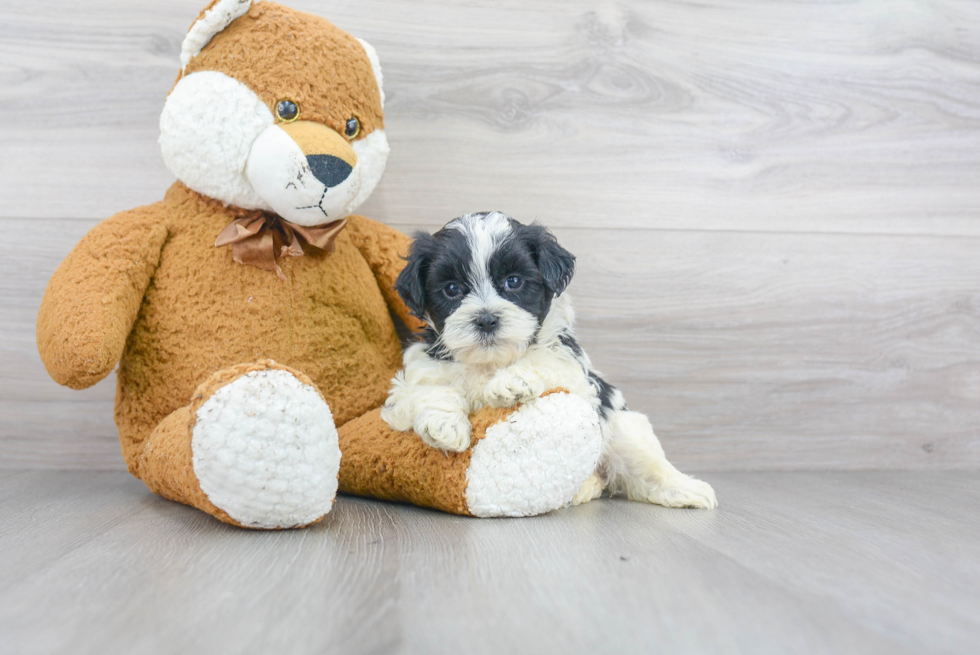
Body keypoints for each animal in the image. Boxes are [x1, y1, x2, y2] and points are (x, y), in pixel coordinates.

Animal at [378, 213, 716, 510]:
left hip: (624, 428)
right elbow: (429, 388)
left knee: (644, 465)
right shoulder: (413, 378)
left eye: (513, 281)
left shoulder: (574, 373)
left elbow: (544, 360)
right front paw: (444, 425)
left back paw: (685, 489)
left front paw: (511, 382)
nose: (486, 319)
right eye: (451, 289)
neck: (490, 362)